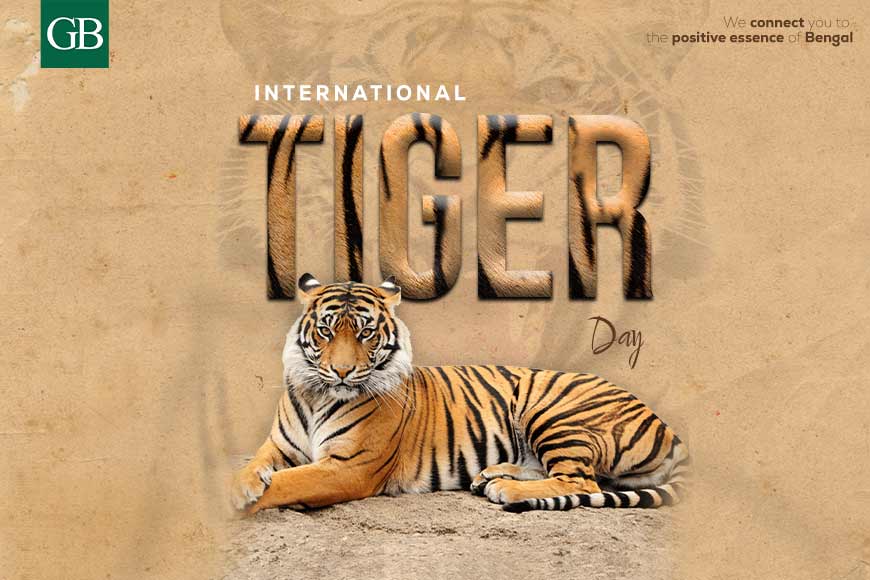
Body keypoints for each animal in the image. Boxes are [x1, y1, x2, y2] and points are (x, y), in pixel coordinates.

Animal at [231, 275, 690, 514]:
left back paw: (506, 490)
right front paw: (241, 484)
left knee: (579, 478)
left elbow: (286, 483)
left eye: (365, 333)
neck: (317, 395)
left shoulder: (349, 467)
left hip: (552, 410)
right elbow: (256, 466)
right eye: (326, 331)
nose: (342, 371)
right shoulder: (278, 446)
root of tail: (667, 427)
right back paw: (492, 475)